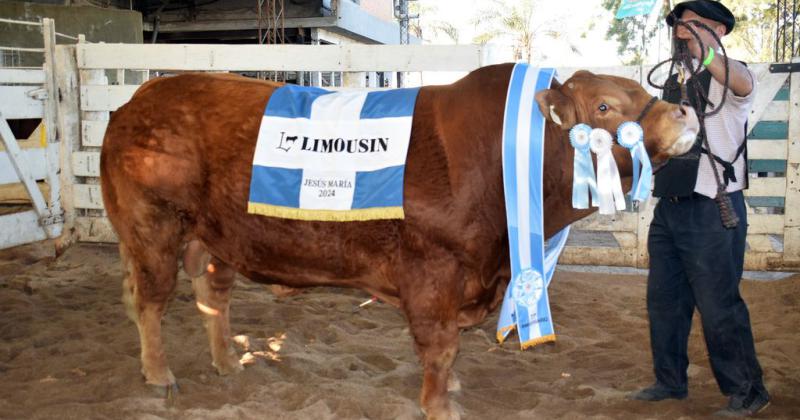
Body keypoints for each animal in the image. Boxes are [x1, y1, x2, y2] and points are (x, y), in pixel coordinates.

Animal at [100, 64, 696, 418]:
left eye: (644, 89)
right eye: (604, 107)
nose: (685, 110)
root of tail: (142, 96)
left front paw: (449, 391)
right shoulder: (433, 273)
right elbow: (441, 347)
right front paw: (439, 403)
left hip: (215, 237)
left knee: (211, 297)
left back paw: (227, 363)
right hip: (153, 226)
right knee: (149, 300)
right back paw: (160, 375)